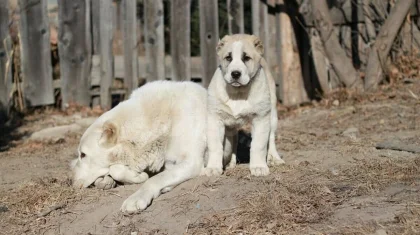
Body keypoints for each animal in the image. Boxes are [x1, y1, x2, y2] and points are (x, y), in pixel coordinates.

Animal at [71, 81, 208, 215]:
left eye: (83, 154)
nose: (70, 181)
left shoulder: (191, 162)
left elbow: (155, 179)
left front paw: (136, 197)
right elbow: (116, 170)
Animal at [203, 33, 286, 176]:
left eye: (246, 58)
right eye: (228, 57)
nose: (235, 73)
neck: (238, 93)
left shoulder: (261, 118)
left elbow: (258, 145)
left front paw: (258, 167)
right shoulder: (215, 119)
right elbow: (216, 146)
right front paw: (213, 168)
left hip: (272, 115)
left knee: (271, 138)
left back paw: (274, 158)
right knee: (233, 140)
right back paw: (230, 162)